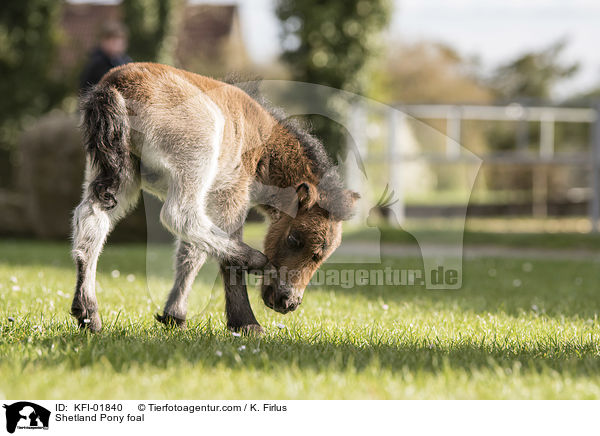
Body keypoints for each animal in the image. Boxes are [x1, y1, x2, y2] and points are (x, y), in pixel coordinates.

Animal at [72, 62, 358, 334]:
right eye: (294, 239)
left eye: (322, 256)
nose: (288, 303)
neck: (261, 143)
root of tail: (115, 84)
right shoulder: (232, 192)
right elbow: (220, 247)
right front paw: (246, 323)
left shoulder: (208, 199)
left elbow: (191, 253)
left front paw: (175, 315)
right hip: (196, 157)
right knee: (178, 216)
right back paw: (255, 260)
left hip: (120, 174)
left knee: (91, 219)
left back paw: (88, 313)